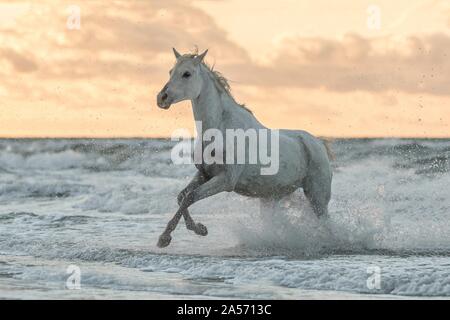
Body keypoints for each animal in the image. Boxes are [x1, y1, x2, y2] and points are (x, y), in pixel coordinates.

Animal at [156, 48, 332, 248]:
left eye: (187, 74)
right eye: (170, 71)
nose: (161, 98)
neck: (220, 127)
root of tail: (318, 143)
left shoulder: (226, 180)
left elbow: (190, 197)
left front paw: (170, 236)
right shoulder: (204, 174)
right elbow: (181, 197)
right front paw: (194, 230)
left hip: (317, 196)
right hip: (271, 197)